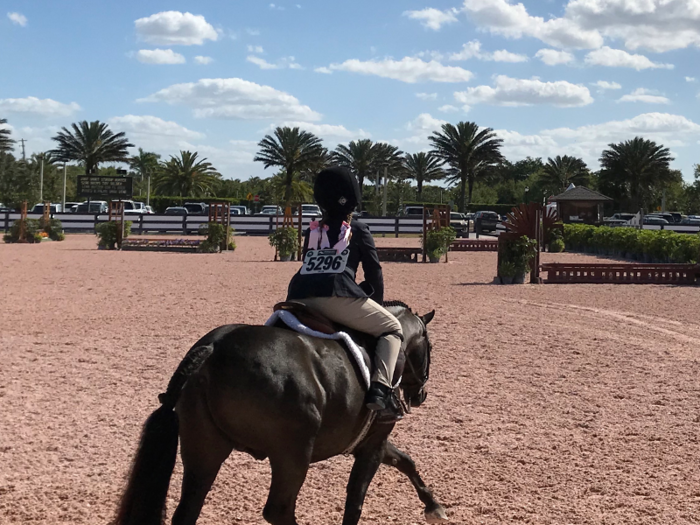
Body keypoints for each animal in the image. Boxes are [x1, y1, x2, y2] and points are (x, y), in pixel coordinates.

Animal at [113, 302, 442, 524]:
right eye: (430, 347)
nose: (421, 395)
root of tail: (213, 348)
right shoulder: (372, 445)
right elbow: (355, 501)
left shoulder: (370, 441)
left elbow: (405, 461)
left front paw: (433, 506)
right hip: (292, 456)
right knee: (279, 511)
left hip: (204, 449)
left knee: (189, 509)